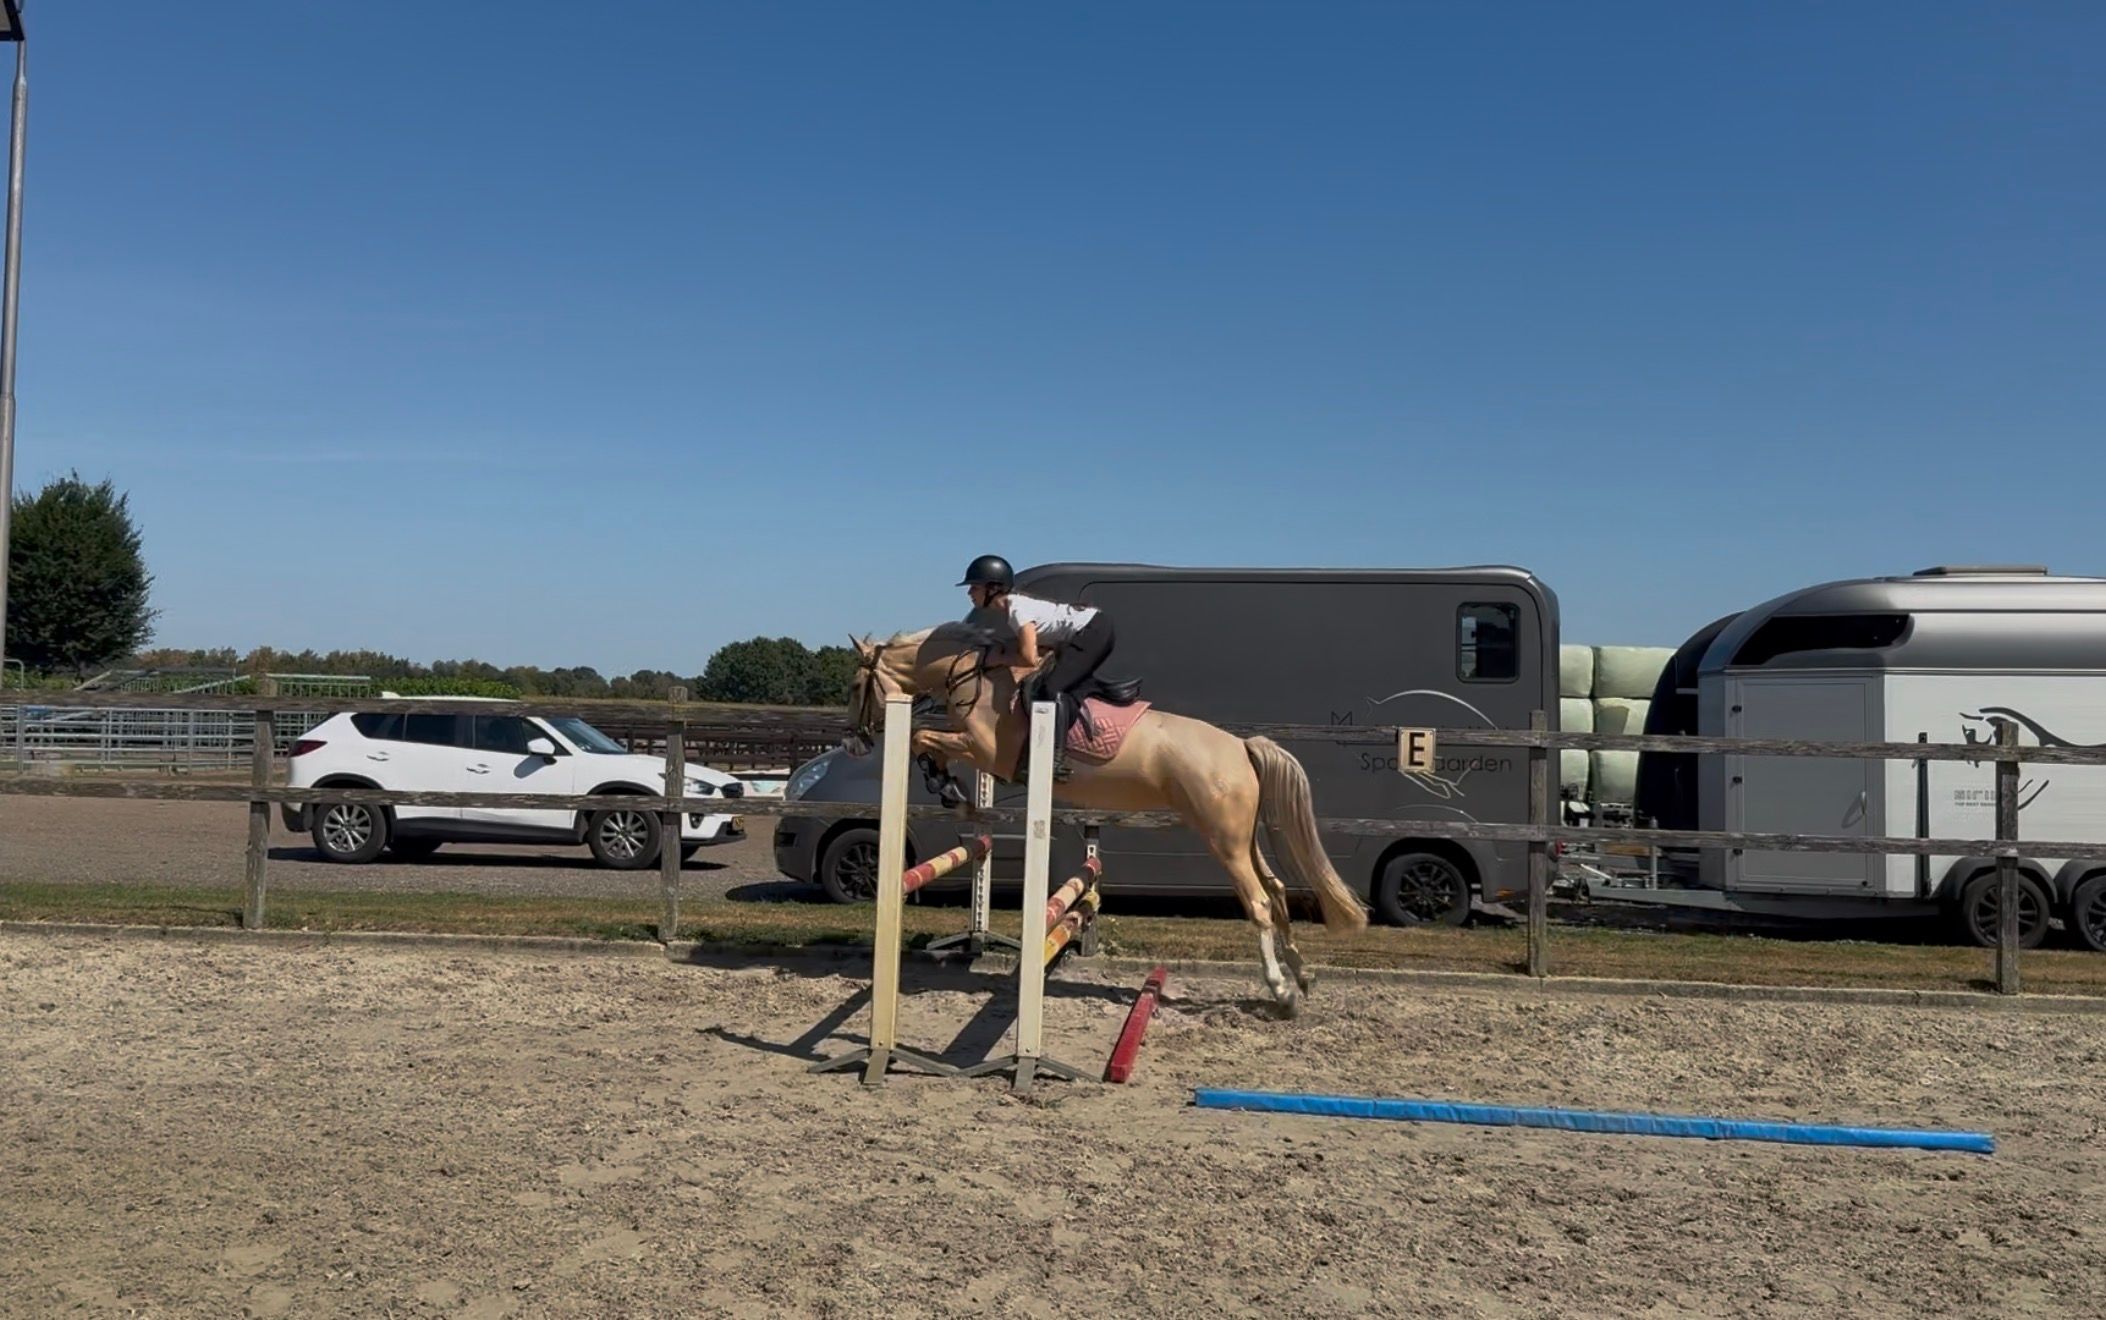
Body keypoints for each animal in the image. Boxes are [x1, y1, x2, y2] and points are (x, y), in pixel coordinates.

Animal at [847, 622, 1368, 1014]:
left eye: (854, 686)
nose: (856, 741)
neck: (973, 676)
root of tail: (1241, 747)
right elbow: (926, 739)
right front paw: (951, 790)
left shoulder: (988, 751)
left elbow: (921, 737)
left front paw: (948, 789)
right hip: (1243, 837)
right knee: (1276, 892)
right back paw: (1304, 975)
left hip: (1223, 840)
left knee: (1258, 902)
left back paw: (1281, 991)